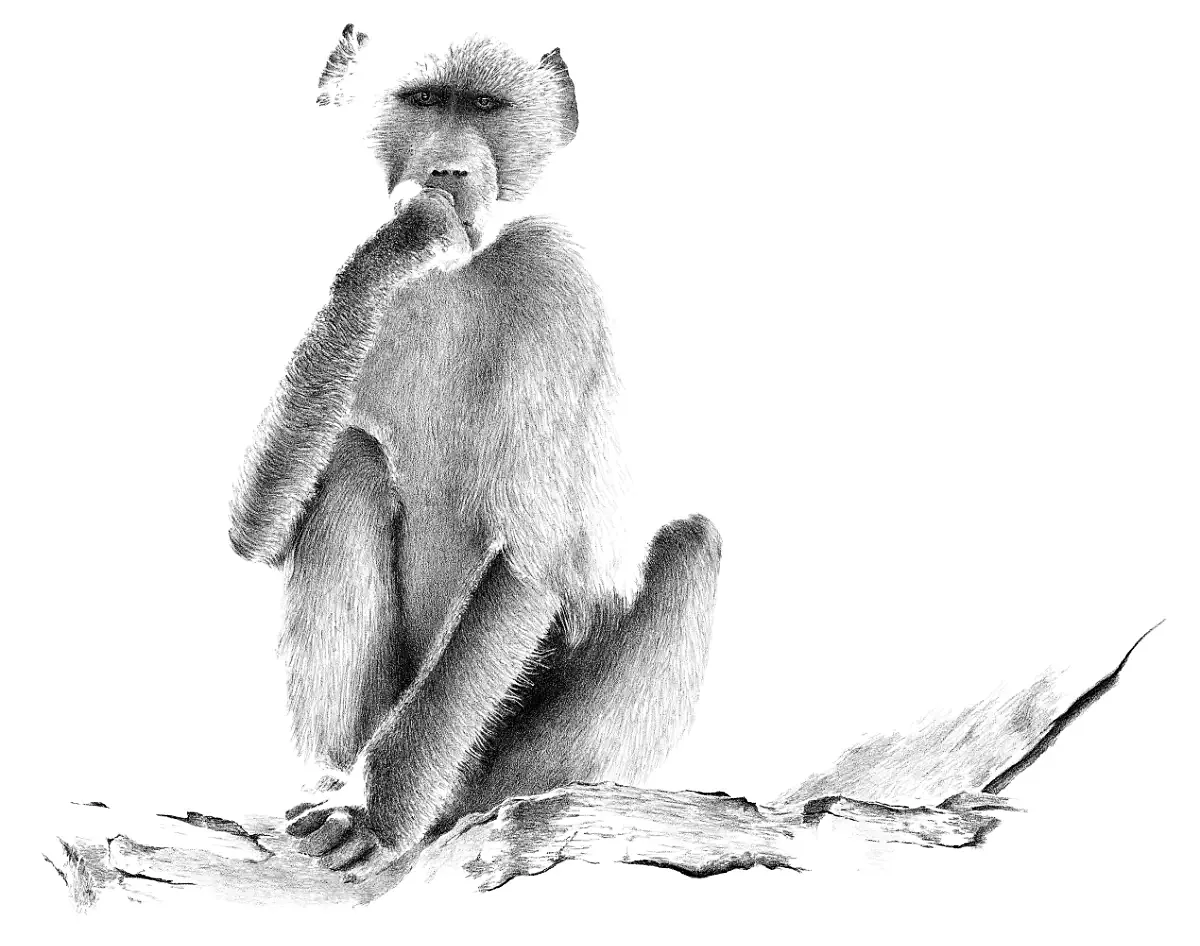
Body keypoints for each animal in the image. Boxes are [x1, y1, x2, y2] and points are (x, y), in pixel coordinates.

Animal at [229, 25, 721, 880]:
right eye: (426, 100)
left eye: (485, 106)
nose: (451, 169)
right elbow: (255, 527)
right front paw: (394, 247)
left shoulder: (559, 274)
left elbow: (534, 556)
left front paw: (374, 811)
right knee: (350, 459)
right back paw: (327, 773)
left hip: (505, 759)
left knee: (692, 546)